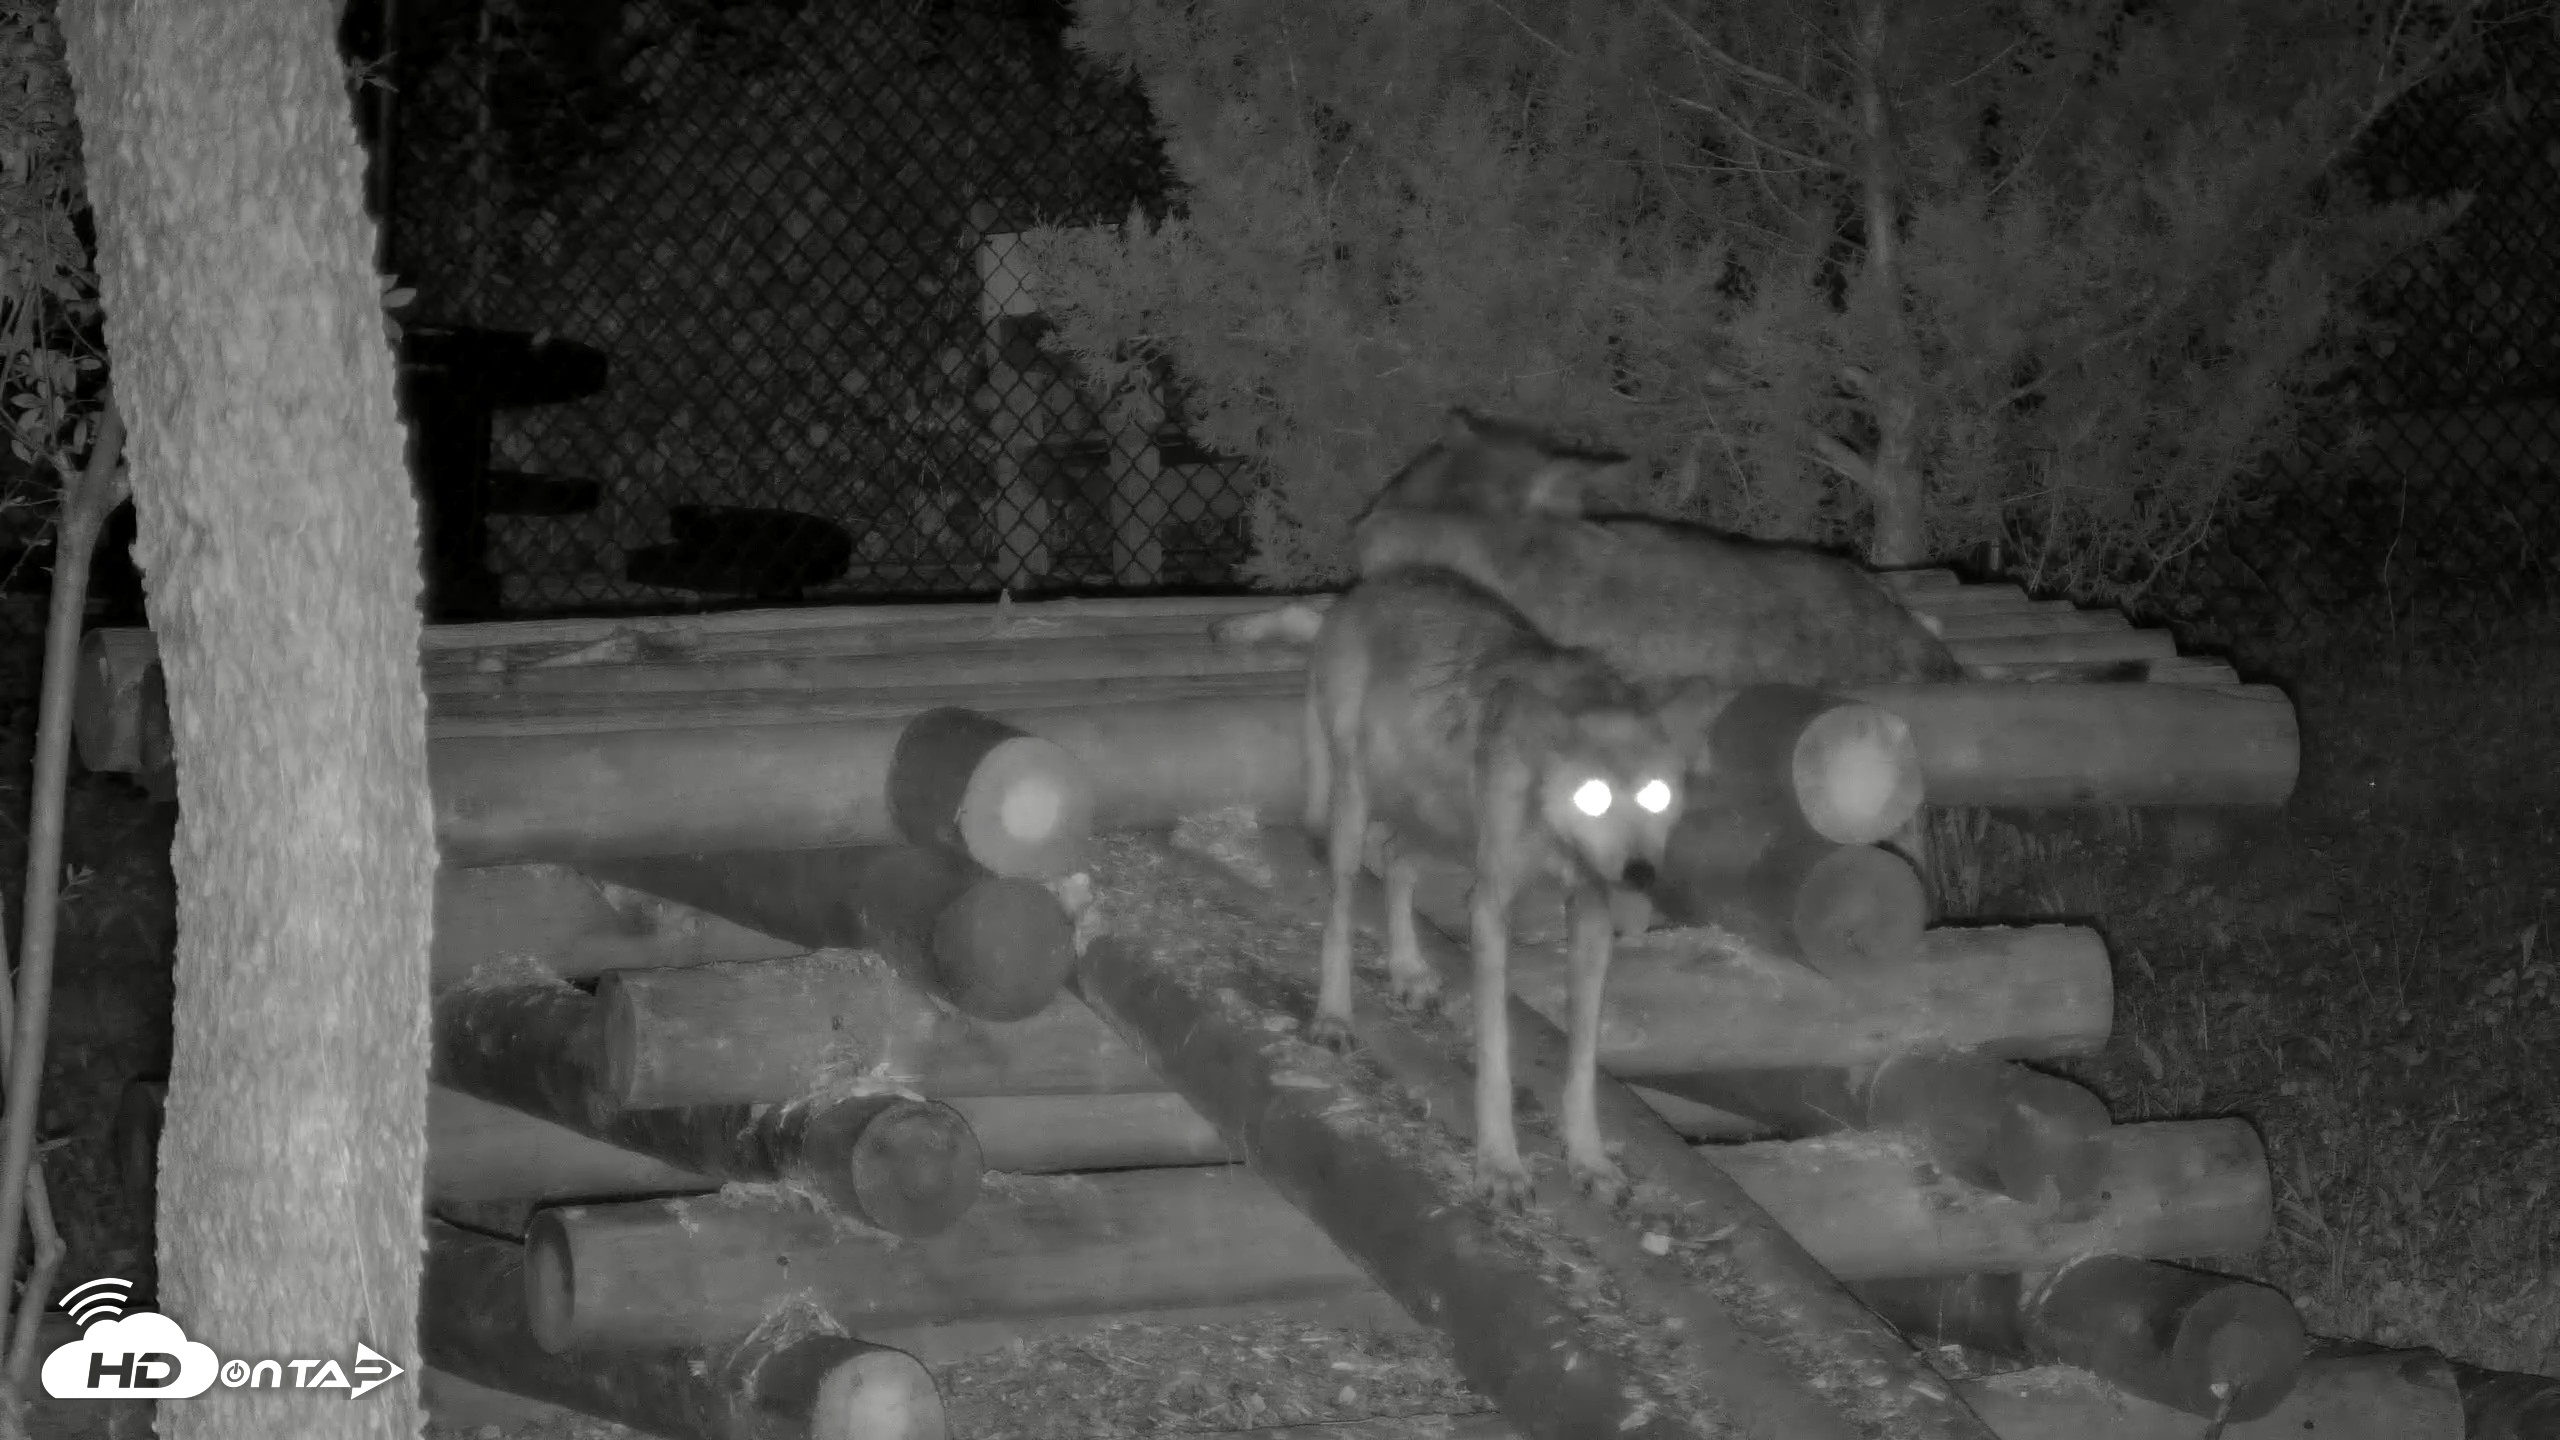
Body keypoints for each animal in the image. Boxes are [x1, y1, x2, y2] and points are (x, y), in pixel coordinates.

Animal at [1304, 565, 1690, 1210]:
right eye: (1593, 797)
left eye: (1656, 795)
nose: (1640, 874)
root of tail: (1368, 587)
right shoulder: (1489, 908)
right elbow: (1496, 1053)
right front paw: (1501, 1167)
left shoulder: (1590, 913)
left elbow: (1582, 1061)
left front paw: (1589, 1161)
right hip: (1361, 811)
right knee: (1340, 907)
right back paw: (1334, 1018)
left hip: (1441, 828)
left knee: (1398, 862)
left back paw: (1408, 972)